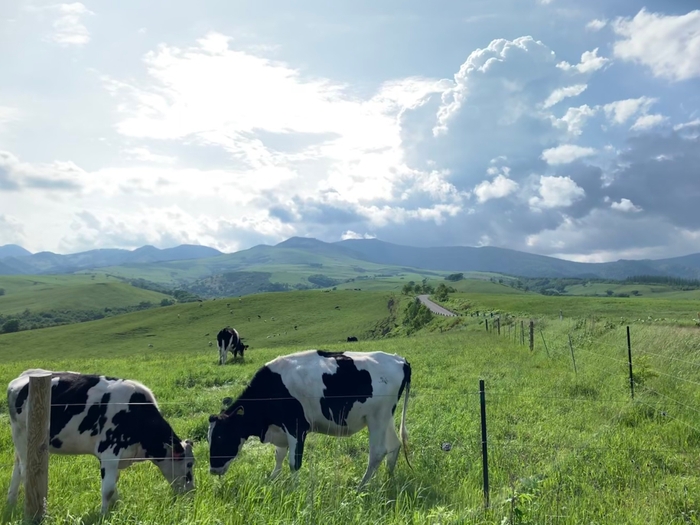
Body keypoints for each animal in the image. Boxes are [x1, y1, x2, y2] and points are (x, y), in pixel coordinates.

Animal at [6, 368, 196, 512]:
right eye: (189, 464)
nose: (192, 493)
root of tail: (24, 375)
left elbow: (114, 484)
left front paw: (117, 507)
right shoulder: (110, 452)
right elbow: (108, 489)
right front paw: (104, 514)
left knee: (17, 468)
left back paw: (11, 503)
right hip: (21, 434)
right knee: (25, 469)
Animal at [206, 348, 410, 488]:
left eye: (221, 437)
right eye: (209, 438)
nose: (213, 470)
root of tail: (399, 359)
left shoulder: (296, 427)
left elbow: (293, 462)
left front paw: (294, 489)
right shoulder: (281, 429)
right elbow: (279, 455)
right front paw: (272, 479)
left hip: (378, 417)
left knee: (378, 452)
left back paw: (361, 486)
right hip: (386, 417)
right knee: (394, 445)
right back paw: (388, 479)